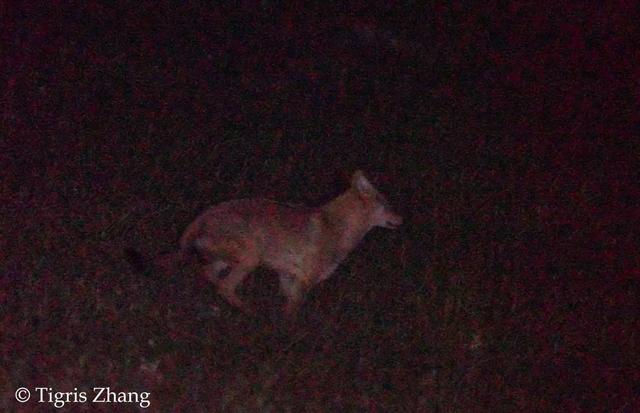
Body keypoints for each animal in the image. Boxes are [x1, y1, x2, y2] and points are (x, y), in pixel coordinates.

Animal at [126, 169, 400, 318]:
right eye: (388, 204)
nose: (402, 218)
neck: (339, 226)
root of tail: (200, 218)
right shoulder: (304, 280)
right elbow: (293, 313)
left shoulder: (287, 277)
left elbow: (286, 307)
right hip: (251, 257)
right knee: (224, 286)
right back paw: (250, 313)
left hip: (228, 261)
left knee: (210, 277)